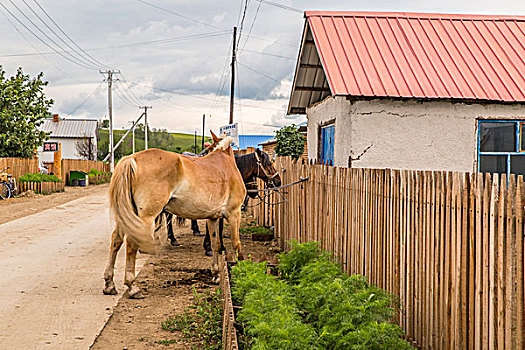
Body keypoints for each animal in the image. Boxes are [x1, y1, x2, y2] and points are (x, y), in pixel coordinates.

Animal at [102, 131, 246, 298]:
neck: (226, 163)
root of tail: (132, 159)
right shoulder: (234, 213)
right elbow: (236, 243)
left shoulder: (212, 218)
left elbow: (216, 244)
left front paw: (216, 274)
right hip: (143, 217)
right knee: (131, 243)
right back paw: (132, 287)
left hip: (127, 216)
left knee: (116, 241)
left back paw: (109, 284)